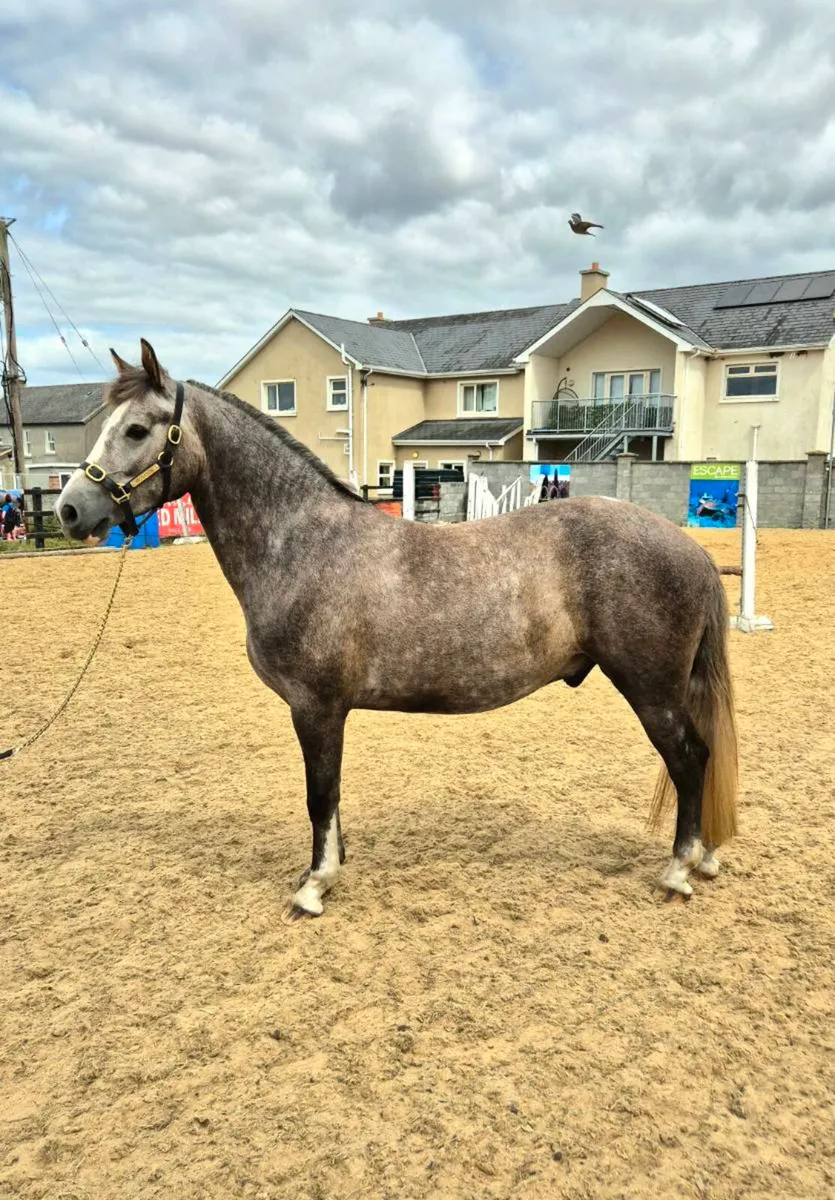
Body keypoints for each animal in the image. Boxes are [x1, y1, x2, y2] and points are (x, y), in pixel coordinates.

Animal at [56, 340, 738, 922]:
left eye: (137, 429)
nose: (68, 510)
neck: (302, 543)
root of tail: (689, 549)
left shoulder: (315, 707)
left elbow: (319, 794)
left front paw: (315, 885)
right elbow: (329, 797)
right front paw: (329, 867)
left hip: (651, 690)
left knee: (689, 759)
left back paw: (680, 869)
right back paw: (703, 858)